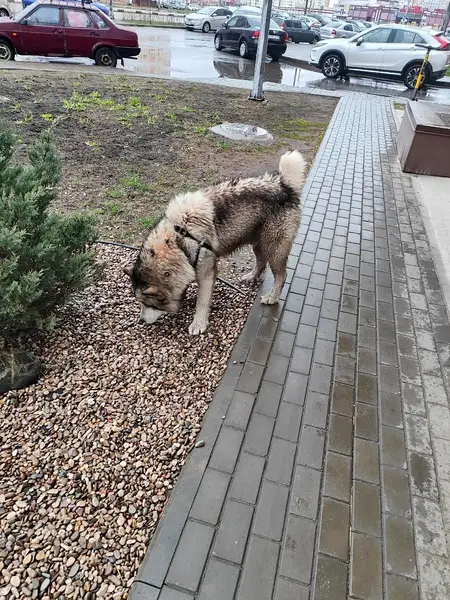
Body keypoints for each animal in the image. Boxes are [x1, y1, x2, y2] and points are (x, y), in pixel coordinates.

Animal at [124, 150, 306, 335]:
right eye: (140, 304)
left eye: (148, 304)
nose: (141, 321)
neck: (178, 240)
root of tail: (284, 186)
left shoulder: (206, 273)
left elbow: (202, 302)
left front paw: (198, 323)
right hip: (258, 242)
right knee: (260, 262)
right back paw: (252, 276)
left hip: (274, 249)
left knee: (281, 275)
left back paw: (272, 297)